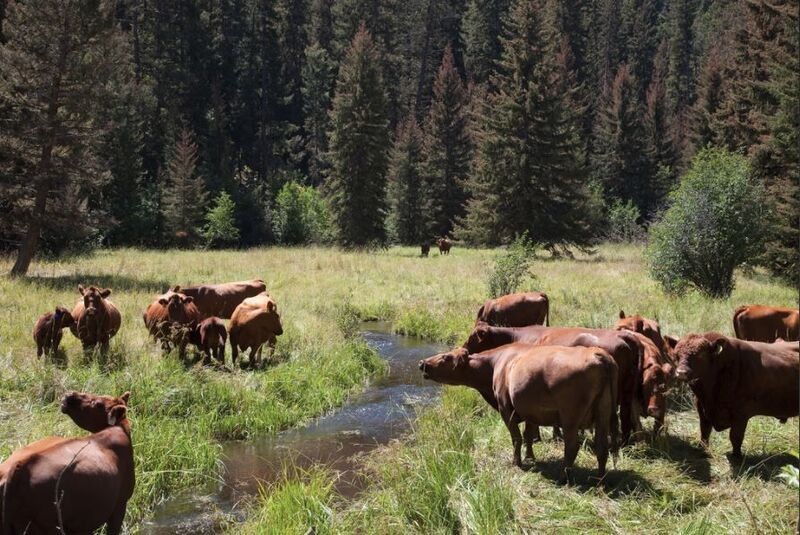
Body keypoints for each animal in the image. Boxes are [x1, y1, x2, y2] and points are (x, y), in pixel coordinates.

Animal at [418, 344, 620, 478]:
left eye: (445, 357)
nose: (422, 363)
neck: (496, 364)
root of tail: (598, 354)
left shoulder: (506, 409)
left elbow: (516, 437)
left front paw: (517, 462)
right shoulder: (530, 410)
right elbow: (528, 435)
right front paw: (530, 457)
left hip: (570, 417)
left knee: (571, 447)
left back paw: (565, 477)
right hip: (603, 413)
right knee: (602, 447)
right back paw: (600, 479)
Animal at [462, 322, 664, 444]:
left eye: (472, 338)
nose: (462, 350)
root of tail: (625, 337)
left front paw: (536, 438)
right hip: (627, 392)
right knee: (626, 415)